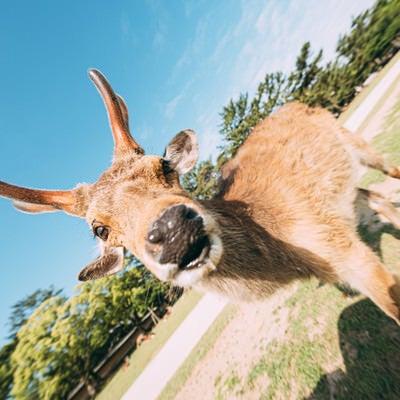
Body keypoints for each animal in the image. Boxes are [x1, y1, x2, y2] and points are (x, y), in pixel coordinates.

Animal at [0, 69, 400, 324]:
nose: (174, 230)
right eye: (99, 228)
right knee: (371, 195)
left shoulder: (345, 251)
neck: (288, 259)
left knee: (389, 173)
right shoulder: (336, 245)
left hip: (356, 142)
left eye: (163, 165)